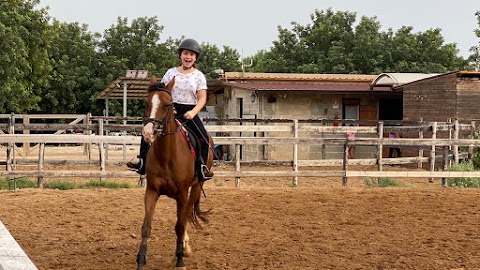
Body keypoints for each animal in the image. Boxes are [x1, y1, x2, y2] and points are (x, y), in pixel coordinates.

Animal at [138, 75, 215, 268]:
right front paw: (141, 260)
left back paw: (184, 249)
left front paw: (180, 260)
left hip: (195, 188)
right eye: (146, 103)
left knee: (185, 216)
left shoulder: (182, 193)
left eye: (167, 105)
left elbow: (180, 225)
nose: (148, 133)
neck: (167, 155)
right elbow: (146, 227)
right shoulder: (152, 191)